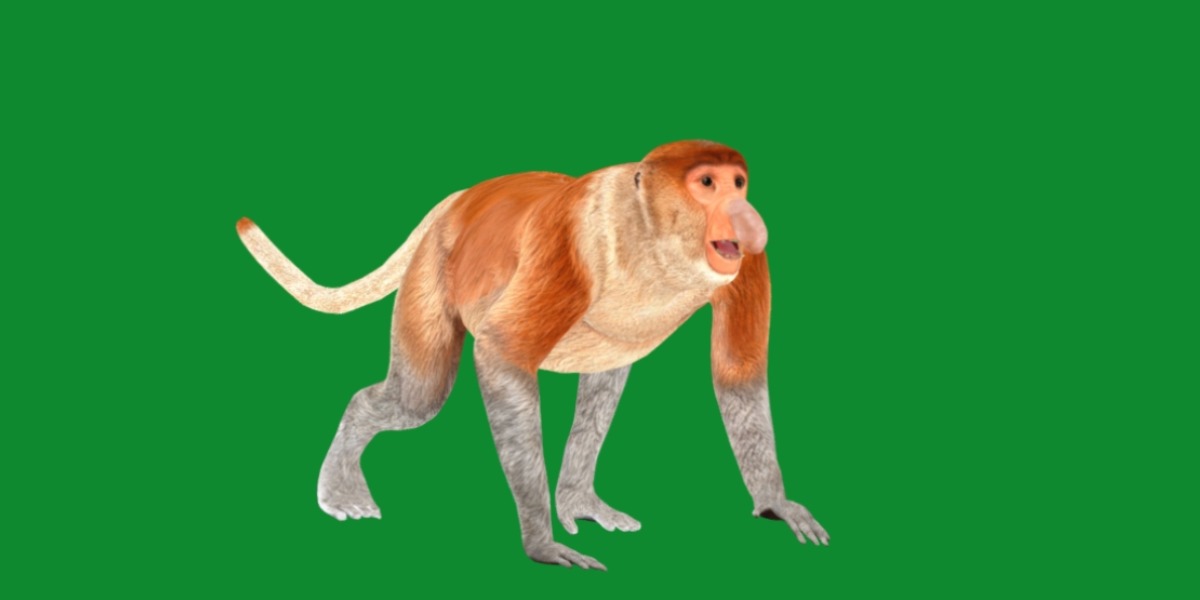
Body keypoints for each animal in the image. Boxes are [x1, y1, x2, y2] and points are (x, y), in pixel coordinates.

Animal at [236, 140, 829, 570]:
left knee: (604, 380)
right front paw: (541, 544)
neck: (648, 231)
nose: (744, 215)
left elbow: (738, 378)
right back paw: (344, 481)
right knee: (417, 397)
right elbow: (503, 355)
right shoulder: (569, 245)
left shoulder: (747, 262)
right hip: (433, 273)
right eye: (706, 183)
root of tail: (459, 199)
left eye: (738, 183)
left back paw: (580, 501)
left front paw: (776, 503)